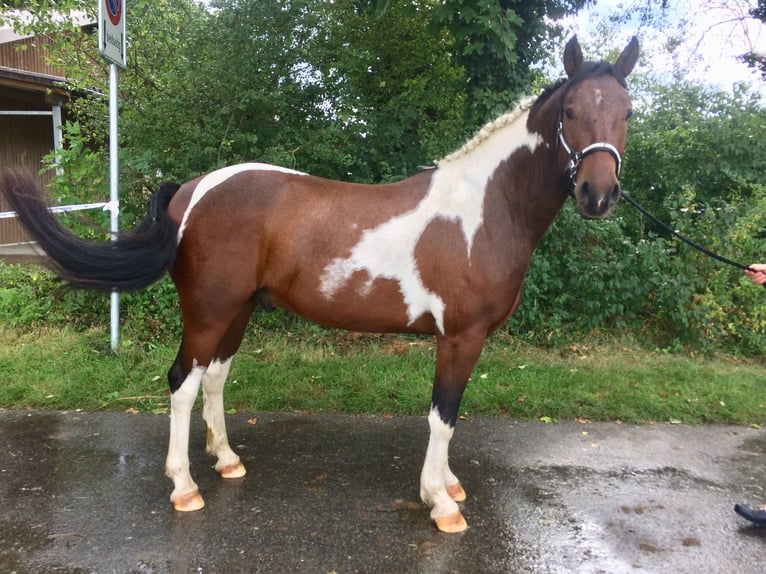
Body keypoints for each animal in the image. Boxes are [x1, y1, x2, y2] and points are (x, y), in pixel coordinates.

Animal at [0, 37, 640, 536]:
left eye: (628, 112)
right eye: (572, 110)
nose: (599, 194)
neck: (481, 209)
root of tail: (192, 190)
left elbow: (448, 417)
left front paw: (449, 486)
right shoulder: (460, 336)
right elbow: (444, 415)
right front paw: (440, 502)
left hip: (237, 311)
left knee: (215, 380)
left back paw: (227, 460)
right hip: (208, 310)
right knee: (183, 383)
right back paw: (184, 487)